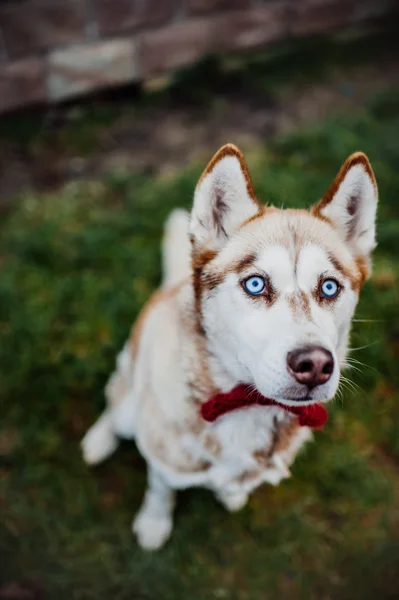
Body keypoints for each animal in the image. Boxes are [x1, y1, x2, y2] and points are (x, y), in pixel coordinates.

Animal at [82, 144, 378, 548]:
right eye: (255, 284)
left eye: (329, 287)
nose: (315, 365)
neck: (246, 406)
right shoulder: (163, 460)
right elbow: (160, 489)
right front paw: (154, 523)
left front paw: (231, 494)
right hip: (129, 396)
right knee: (115, 401)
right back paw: (99, 439)